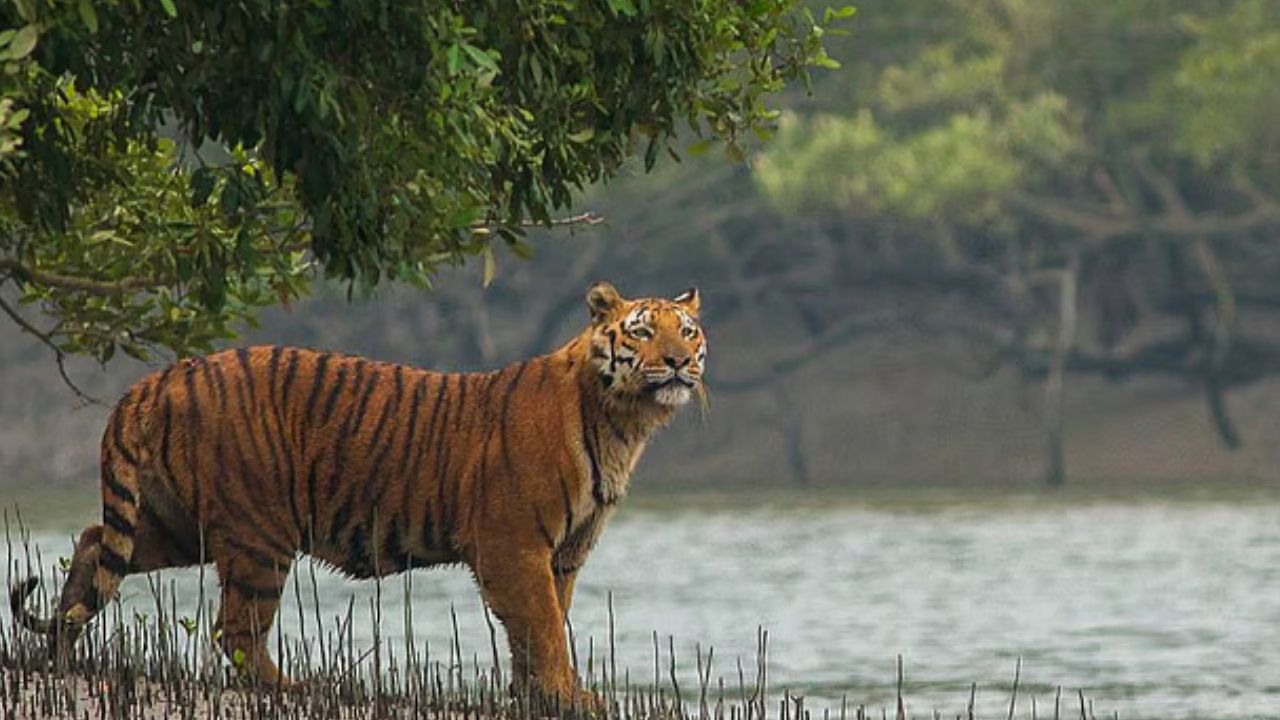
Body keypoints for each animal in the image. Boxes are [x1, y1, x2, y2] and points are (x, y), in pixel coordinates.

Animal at [9, 281, 706, 705]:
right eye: (643, 333)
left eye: (689, 331)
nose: (678, 362)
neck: (623, 421)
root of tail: (158, 378)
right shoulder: (514, 544)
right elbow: (541, 626)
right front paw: (566, 696)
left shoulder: (563, 552)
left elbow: (543, 626)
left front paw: (538, 697)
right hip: (259, 533)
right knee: (236, 631)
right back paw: (294, 688)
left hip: (179, 524)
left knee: (94, 543)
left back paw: (59, 651)